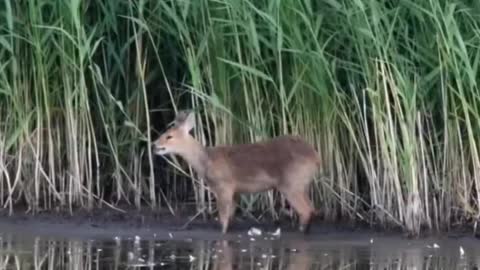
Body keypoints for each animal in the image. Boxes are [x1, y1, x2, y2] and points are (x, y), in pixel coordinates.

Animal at [152, 110, 320, 234]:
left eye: (169, 136)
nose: (154, 145)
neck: (206, 161)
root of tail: (316, 158)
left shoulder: (223, 186)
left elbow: (223, 217)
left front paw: (222, 233)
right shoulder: (235, 191)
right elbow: (231, 216)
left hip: (290, 183)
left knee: (306, 210)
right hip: (301, 184)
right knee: (311, 208)